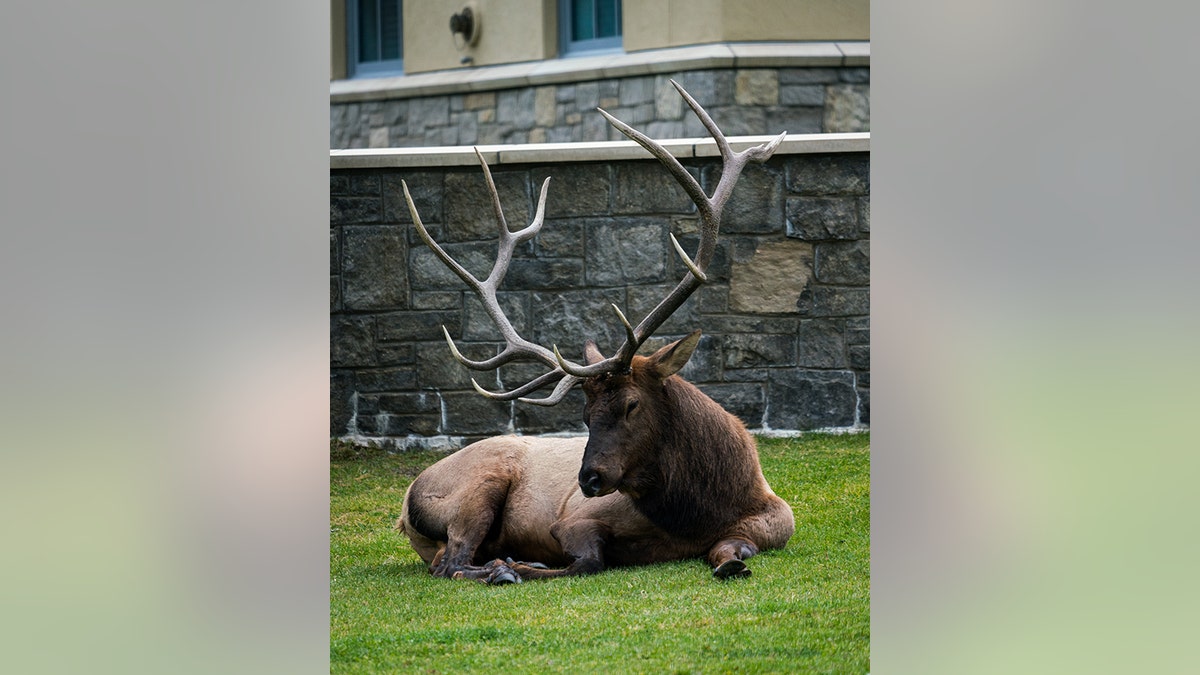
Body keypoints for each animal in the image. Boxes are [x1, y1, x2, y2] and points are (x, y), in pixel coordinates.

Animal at [391, 81, 796, 581]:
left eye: (631, 405)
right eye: (584, 416)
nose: (588, 478)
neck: (700, 511)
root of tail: (404, 506)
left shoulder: (776, 520)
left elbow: (735, 548)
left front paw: (730, 563)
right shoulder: (574, 520)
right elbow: (587, 560)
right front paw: (522, 564)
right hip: (476, 488)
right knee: (451, 563)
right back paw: (502, 568)